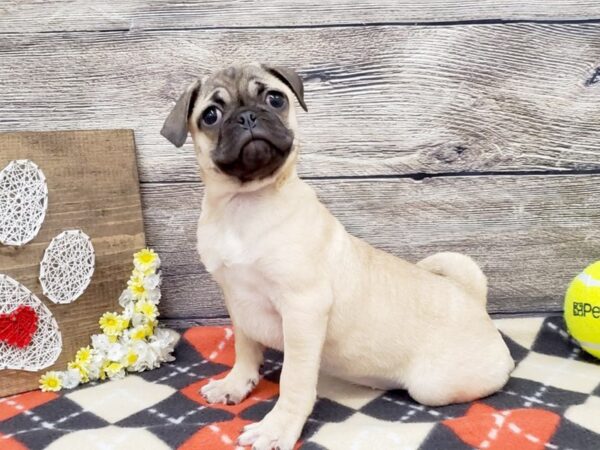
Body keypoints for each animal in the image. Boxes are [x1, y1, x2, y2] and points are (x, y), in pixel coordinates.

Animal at [162, 63, 512, 450]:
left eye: (275, 99)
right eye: (210, 115)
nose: (248, 116)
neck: (244, 204)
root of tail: (473, 299)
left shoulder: (302, 308)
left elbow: (294, 380)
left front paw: (277, 428)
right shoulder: (237, 302)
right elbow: (246, 349)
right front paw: (237, 384)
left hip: (433, 387)